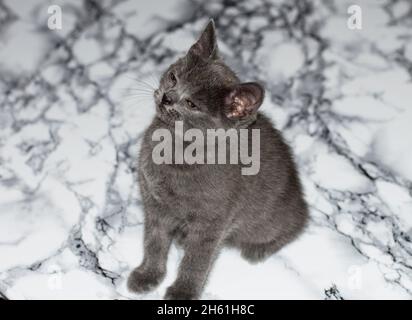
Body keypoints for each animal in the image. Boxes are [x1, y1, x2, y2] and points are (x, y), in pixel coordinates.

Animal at [127, 20, 308, 300]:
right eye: (174, 77)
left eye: (191, 104)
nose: (167, 97)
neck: (176, 149)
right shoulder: (154, 204)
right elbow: (154, 241)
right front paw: (148, 274)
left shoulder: (212, 221)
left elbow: (196, 260)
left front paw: (182, 292)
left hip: (268, 220)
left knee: (296, 223)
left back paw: (258, 249)